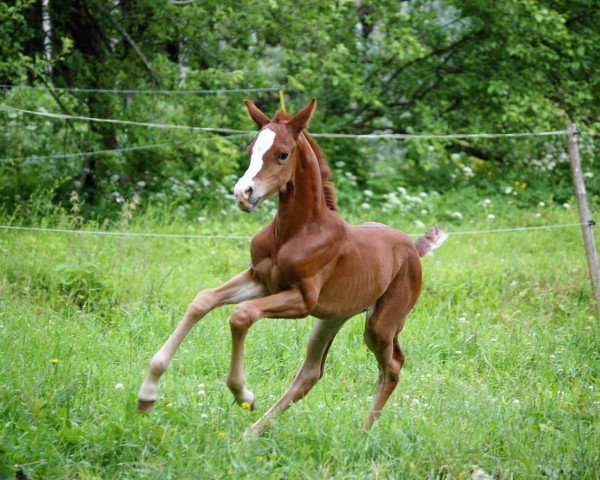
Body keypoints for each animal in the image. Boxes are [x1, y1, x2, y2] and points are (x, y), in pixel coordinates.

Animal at [136, 98, 446, 436]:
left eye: (283, 154)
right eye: (251, 150)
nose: (243, 194)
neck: (294, 232)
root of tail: (412, 248)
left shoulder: (301, 300)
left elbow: (241, 315)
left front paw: (243, 394)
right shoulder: (259, 279)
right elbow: (203, 300)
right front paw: (147, 395)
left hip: (380, 325)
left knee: (393, 366)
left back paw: (362, 433)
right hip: (331, 318)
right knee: (310, 372)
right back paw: (252, 433)